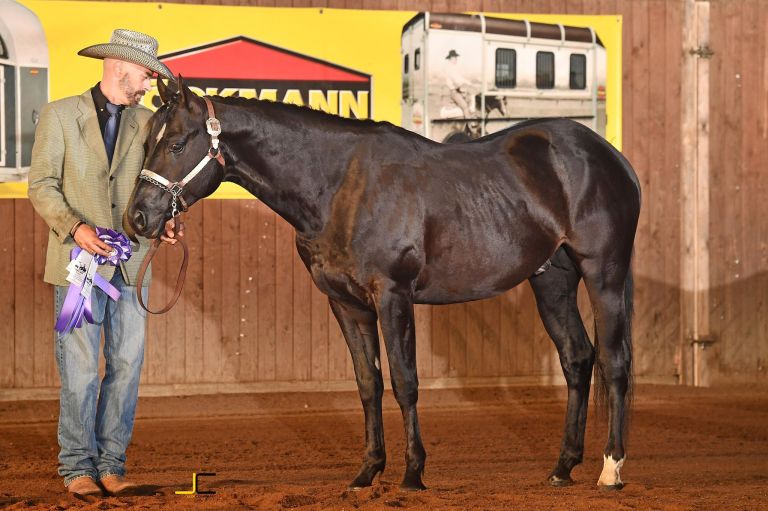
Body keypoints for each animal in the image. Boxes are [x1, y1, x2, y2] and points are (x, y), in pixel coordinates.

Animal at [124, 76, 641, 491]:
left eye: (176, 144)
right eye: (148, 143)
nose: (138, 217)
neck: (338, 187)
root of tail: (612, 157)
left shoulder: (393, 296)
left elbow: (405, 382)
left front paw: (413, 473)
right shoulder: (346, 304)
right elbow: (368, 383)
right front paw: (368, 471)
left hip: (604, 273)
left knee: (614, 363)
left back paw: (611, 470)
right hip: (552, 280)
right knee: (577, 359)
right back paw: (563, 467)